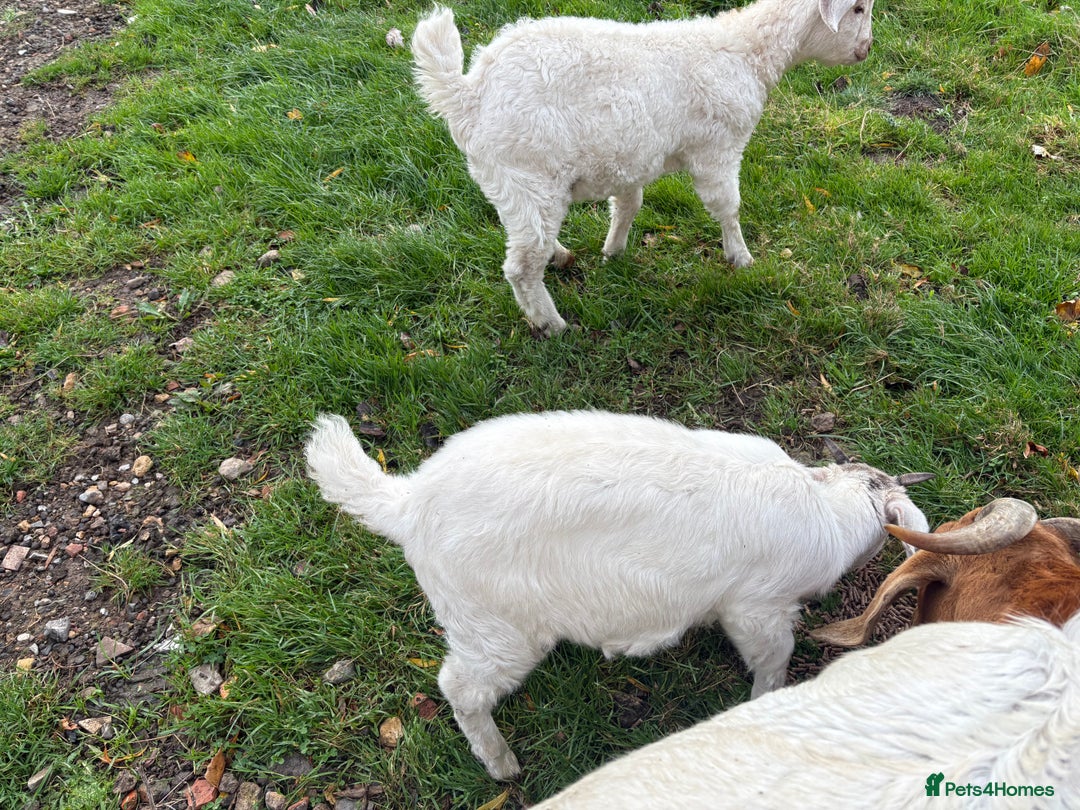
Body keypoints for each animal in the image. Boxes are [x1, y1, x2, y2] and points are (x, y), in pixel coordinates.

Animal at [305, 409, 930, 779]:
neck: (826, 509)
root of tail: (407, 504)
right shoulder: (756, 607)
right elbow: (773, 657)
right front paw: (765, 700)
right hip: (496, 626)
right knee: (460, 688)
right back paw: (502, 764)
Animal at [411, 0, 875, 336]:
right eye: (857, 9)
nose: (868, 49)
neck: (745, 53)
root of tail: (468, 96)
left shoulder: (628, 157)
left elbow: (628, 205)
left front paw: (613, 250)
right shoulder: (718, 148)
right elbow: (728, 207)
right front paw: (741, 258)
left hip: (512, 183)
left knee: (525, 238)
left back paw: (560, 257)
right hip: (531, 174)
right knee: (522, 265)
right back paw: (553, 324)